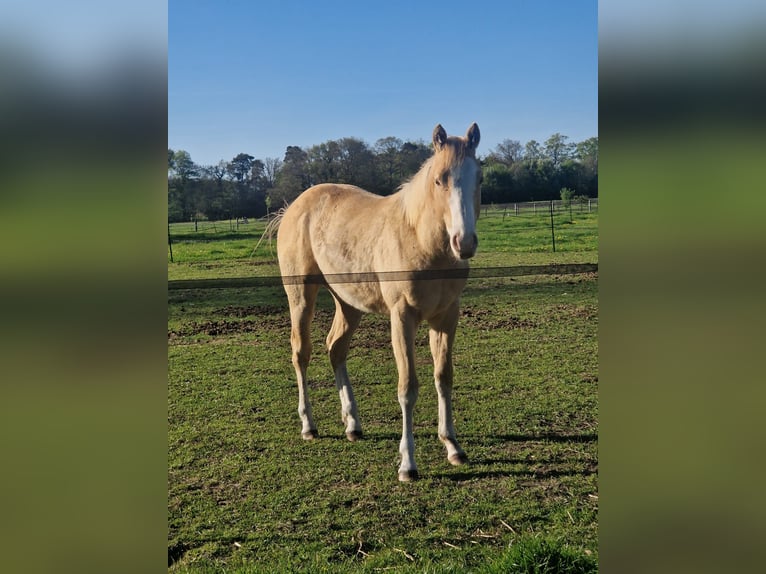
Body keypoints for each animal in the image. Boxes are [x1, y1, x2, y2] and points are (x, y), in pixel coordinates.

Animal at [276, 123, 481, 481]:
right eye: (439, 179)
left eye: (479, 178)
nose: (464, 242)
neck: (420, 240)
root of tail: (294, 207)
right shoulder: (402, 317)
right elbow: (407, 387)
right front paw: (408, 465)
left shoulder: (446, 316)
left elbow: (443, 378)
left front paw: (453, 446)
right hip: (301, 296)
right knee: (301, 353)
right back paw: (309, 426)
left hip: (348, 303)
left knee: (335, 348)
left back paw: (353, 425)